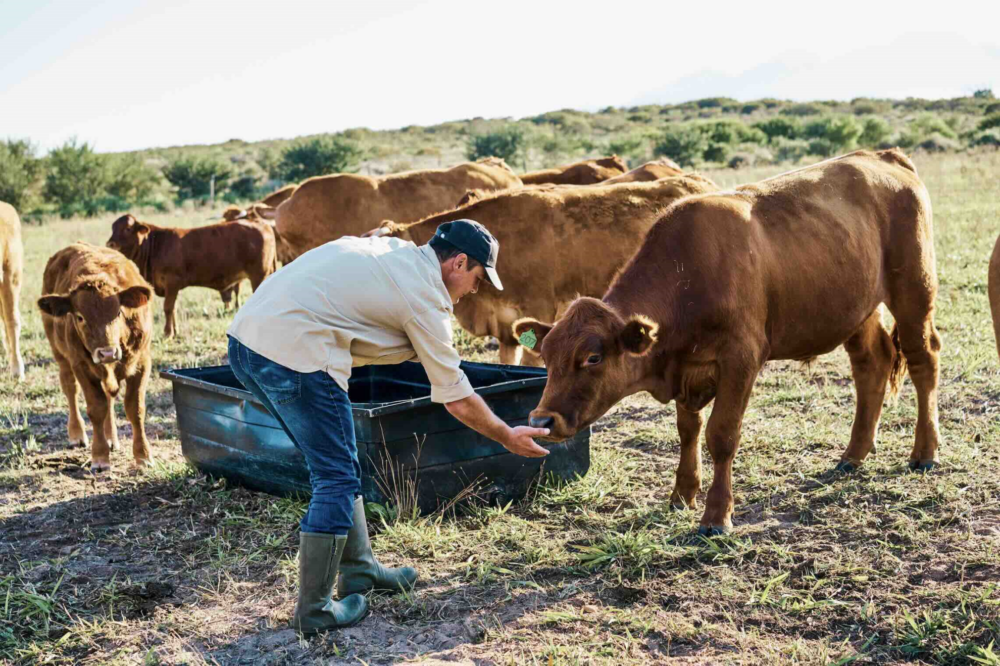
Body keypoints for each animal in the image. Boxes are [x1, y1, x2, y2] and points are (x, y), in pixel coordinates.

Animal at [37, 243, 155, 466]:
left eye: (118, 312)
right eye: (80, 317)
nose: (107, 353)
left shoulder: (142, 362)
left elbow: (135, 408)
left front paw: (143, 455)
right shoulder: (81, 366)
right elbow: (96, 408)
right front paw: (100, 456)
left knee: (108, 396)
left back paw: (111, 437)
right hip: (60, 355)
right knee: (70, 388)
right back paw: (77, 433)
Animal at [106, 214, 276, 338]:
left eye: (128, 228)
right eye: (112, 227)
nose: (110, 244)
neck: (156, 246)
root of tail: (261, 223)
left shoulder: (172, 282)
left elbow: (168, 308)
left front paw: (167, 333)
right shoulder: (171, 288)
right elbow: (173, 309)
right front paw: (175, 331)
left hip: (259, 275)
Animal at [512, 148, 940, 532]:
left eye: (593, 357)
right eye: (546, 356)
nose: (541, 420)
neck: (687, 276)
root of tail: (883, 156)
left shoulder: (741, 360)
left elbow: (721, 435)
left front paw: (716, 516)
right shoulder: (687, 369)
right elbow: (688, 431)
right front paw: (682, 495)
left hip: (913, 292)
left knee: (924, 360)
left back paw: (924, 452)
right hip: (858, 309)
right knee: (872, 365)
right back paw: (853, 454)